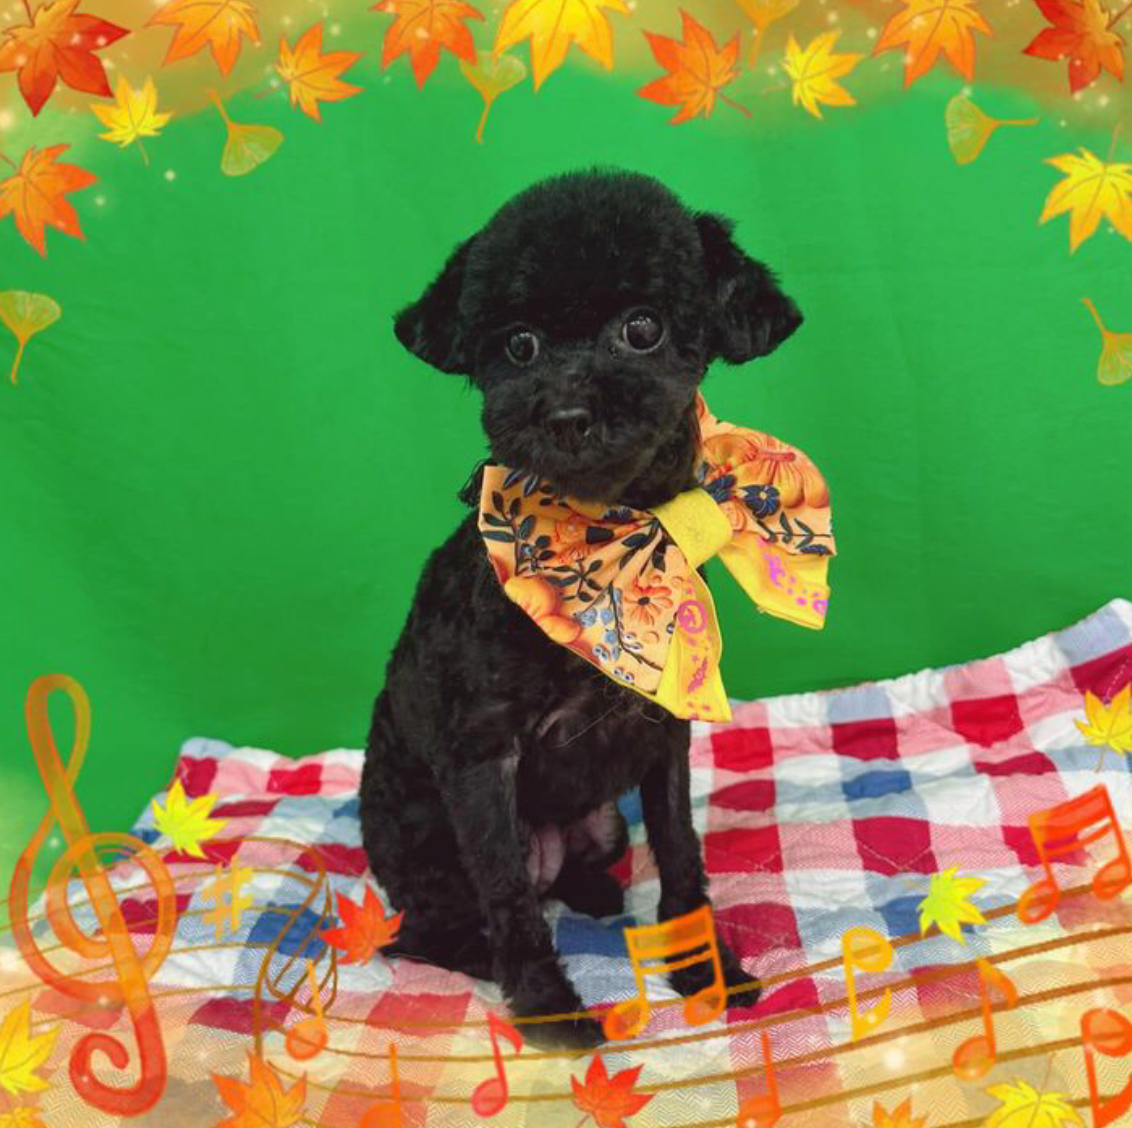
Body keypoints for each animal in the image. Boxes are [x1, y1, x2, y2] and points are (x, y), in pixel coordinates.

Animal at [359, 167, 804, 1048]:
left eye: (643, 328)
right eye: (518, 345)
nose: (565, 415)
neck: (603, 548)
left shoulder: (664, 731)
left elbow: (682, 854)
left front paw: (702, 968)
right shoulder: (480, 756)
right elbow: (509, 896)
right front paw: (548, 1007)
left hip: (600, 825)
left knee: (574, 872)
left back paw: (597, 895)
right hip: (426, 847)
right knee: (434, 926)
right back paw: (475, 951)